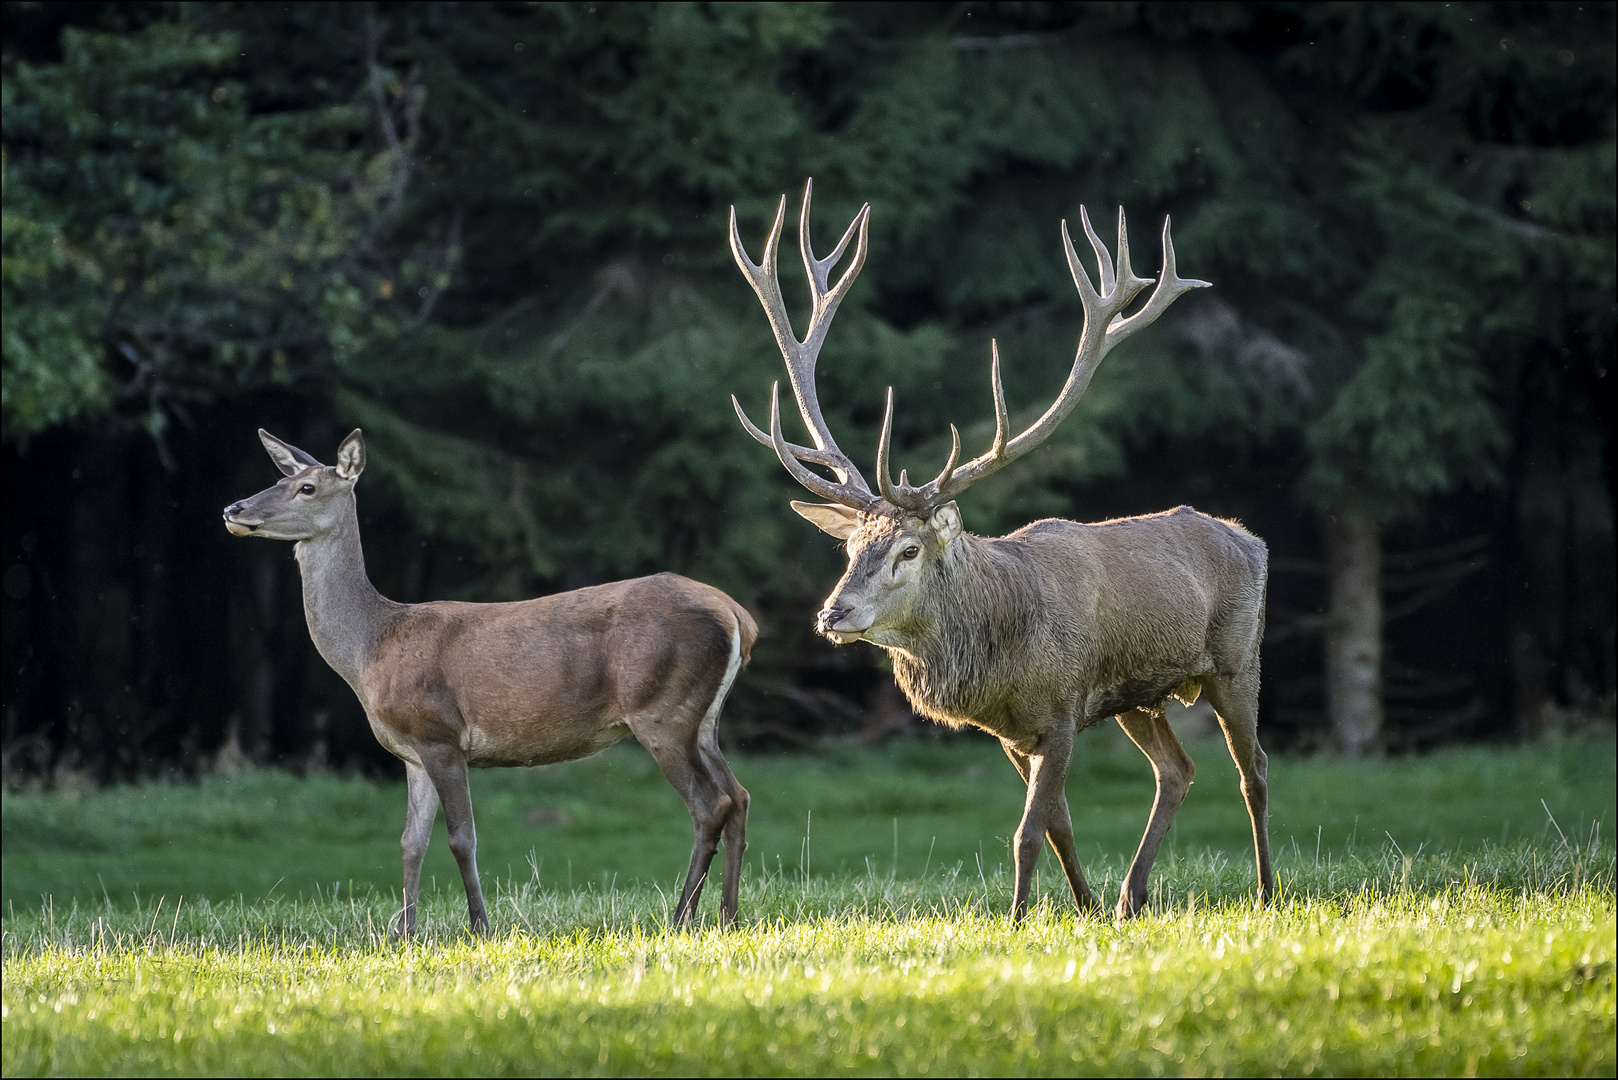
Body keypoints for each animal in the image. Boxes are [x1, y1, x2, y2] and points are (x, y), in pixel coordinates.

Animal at [224, 433, 753, 939]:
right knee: (739, 794)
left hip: (660, 707)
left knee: (710, 804)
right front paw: (404, 933)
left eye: (307, 487)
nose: (234, 509)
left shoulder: (440, 734)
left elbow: (462, 838)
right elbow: (410, 842)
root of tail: (736, 614)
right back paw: (727, 916)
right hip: (702, 718)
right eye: (281, 478)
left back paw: (681, 917)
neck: (370, 649)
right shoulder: (412, 752)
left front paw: (479, 926)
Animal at [728, 183, 1268, 919]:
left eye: (907, 551)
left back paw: (1267, 889)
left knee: (1253, 771)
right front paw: (1085, 908)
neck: (1000, 656)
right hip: (1141, 696)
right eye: (851, 548)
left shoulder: (1065, 708)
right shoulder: (1014, 732)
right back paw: (1130, 897)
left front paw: (1016, 919)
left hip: (1237, 660)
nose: (832, 614)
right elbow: (1059, 822)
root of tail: (1250, 537)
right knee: (1178, 771)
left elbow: (1028, 830)